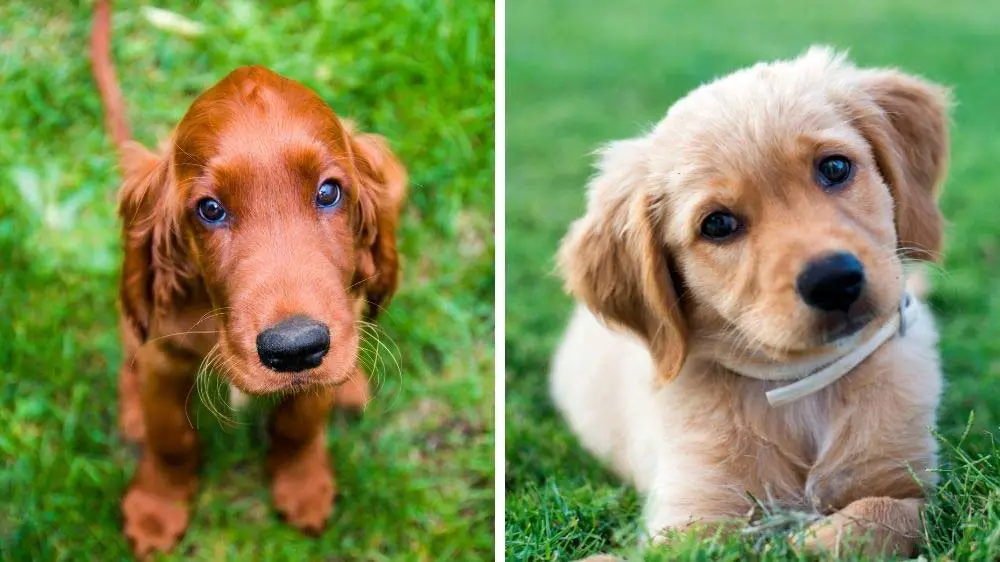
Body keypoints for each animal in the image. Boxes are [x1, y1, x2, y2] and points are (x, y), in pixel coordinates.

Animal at [552, 48, 948, 556]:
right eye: (718, 224)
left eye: (835, 168)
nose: (834, 281)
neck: (804, 386)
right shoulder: (692, 513)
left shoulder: (913, 485)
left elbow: (884, 515)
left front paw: (806, 540)